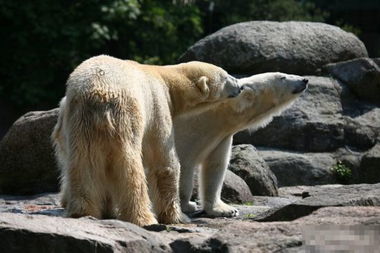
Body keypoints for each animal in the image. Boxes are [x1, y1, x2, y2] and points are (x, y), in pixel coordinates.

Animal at [51, 54, 240, 225]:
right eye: (225, 76)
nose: (239, 85)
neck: (165, 79)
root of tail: (99, 95)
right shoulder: (157, 106)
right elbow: (165, 162)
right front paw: (178, 217)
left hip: (79, 122)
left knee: (83, 163)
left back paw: (84, 211)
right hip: (125, 114)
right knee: (130, 167)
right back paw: (143, 217)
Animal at [176, 72, 308, 216]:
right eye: (281, 77)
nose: (304, 80)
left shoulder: (220, 136)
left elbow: (215, 165)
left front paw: (225, 210)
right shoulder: (187, 131)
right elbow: (182, 164)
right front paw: (186, 205)